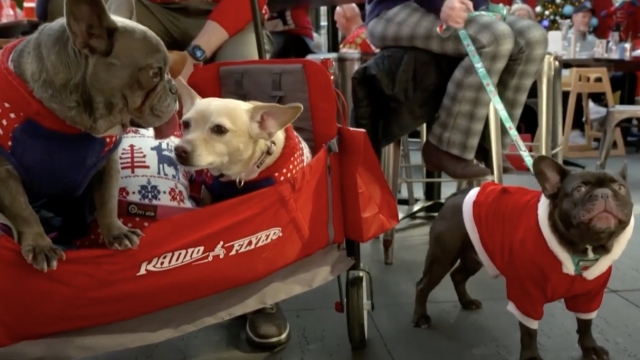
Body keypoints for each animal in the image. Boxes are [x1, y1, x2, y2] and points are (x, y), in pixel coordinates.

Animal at [416, 157, 632, 360]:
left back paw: (466, 302)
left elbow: (586, 324)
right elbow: (529, 331)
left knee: (458, 276)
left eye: (621, 188)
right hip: (442, 256)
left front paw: (590, 348)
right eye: (579, 189)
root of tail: (453, 197)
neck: (581, 249)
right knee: (423, 285)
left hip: (474, 257)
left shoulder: (589, 296)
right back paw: (421, 318)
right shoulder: (527, 296)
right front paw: (531, 356)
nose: (604, 193)